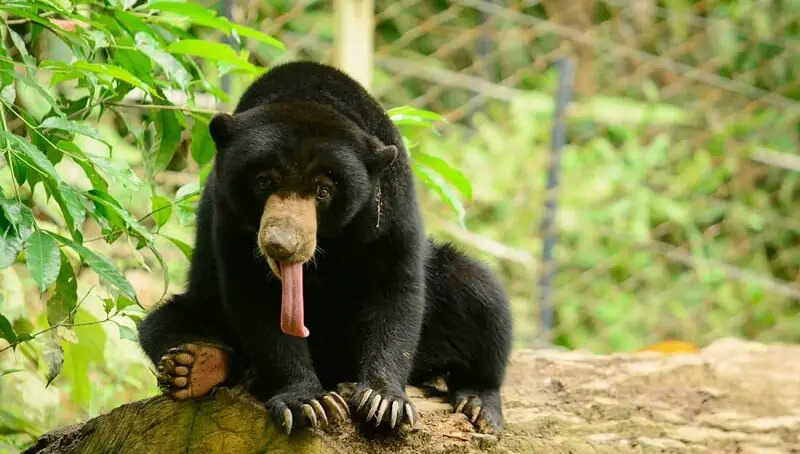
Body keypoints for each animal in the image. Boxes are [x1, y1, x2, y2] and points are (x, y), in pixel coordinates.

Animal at [137, 61, 512, 436]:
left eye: (323, 190)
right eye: (264, 181)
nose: (282, 244)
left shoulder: (389, 204)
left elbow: (397, 286)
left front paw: (383, 401)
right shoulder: (228, 218)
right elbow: (255, 297)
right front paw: (308, 403)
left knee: (479, 294)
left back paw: (478, 403)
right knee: (161, 323)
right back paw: (194, 365)